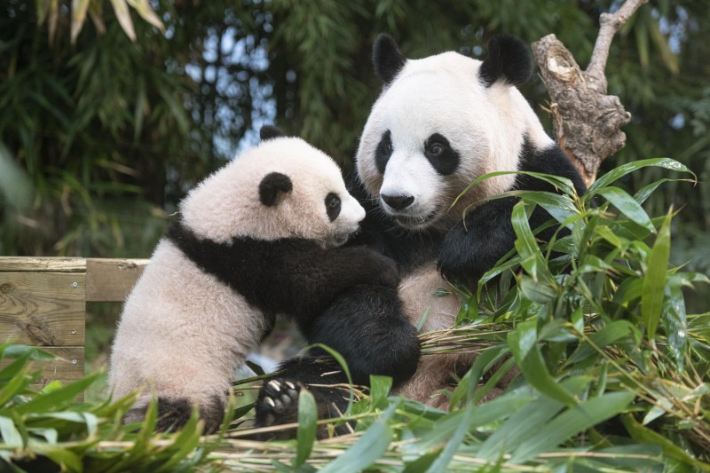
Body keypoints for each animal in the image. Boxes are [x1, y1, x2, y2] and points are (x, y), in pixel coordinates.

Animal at [110, 125, 422, 432]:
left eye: (344, 188)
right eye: (332, 203)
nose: (361, 217)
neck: (234, 208)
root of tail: (118, 405)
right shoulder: (249, 256)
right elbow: (308, 280)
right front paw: (381, 266)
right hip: (176, 378)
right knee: (177, 415)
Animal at [256, 32, 588, 432]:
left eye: (436, 147)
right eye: (385, 147)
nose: (398, 199)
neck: (432, 227)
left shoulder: (544, 174)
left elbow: (559, 227)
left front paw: (466, 250)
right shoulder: (362, 211)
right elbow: (338, 286)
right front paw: (390, 349)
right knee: (321, 375)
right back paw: (291, 406)